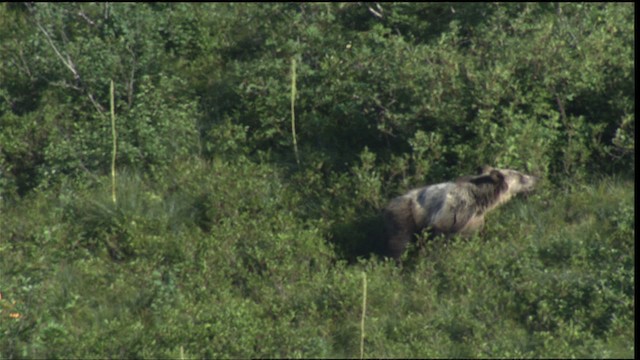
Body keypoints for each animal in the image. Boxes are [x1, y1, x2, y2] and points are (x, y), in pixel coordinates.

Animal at [382, 166, 536, 262]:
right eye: (521, 176)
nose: (535, 178)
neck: (480, 200)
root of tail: (387, 206)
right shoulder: (454, 212)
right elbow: (442, 235)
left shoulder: (474, 220)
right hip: (405, 217)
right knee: (400, 243)